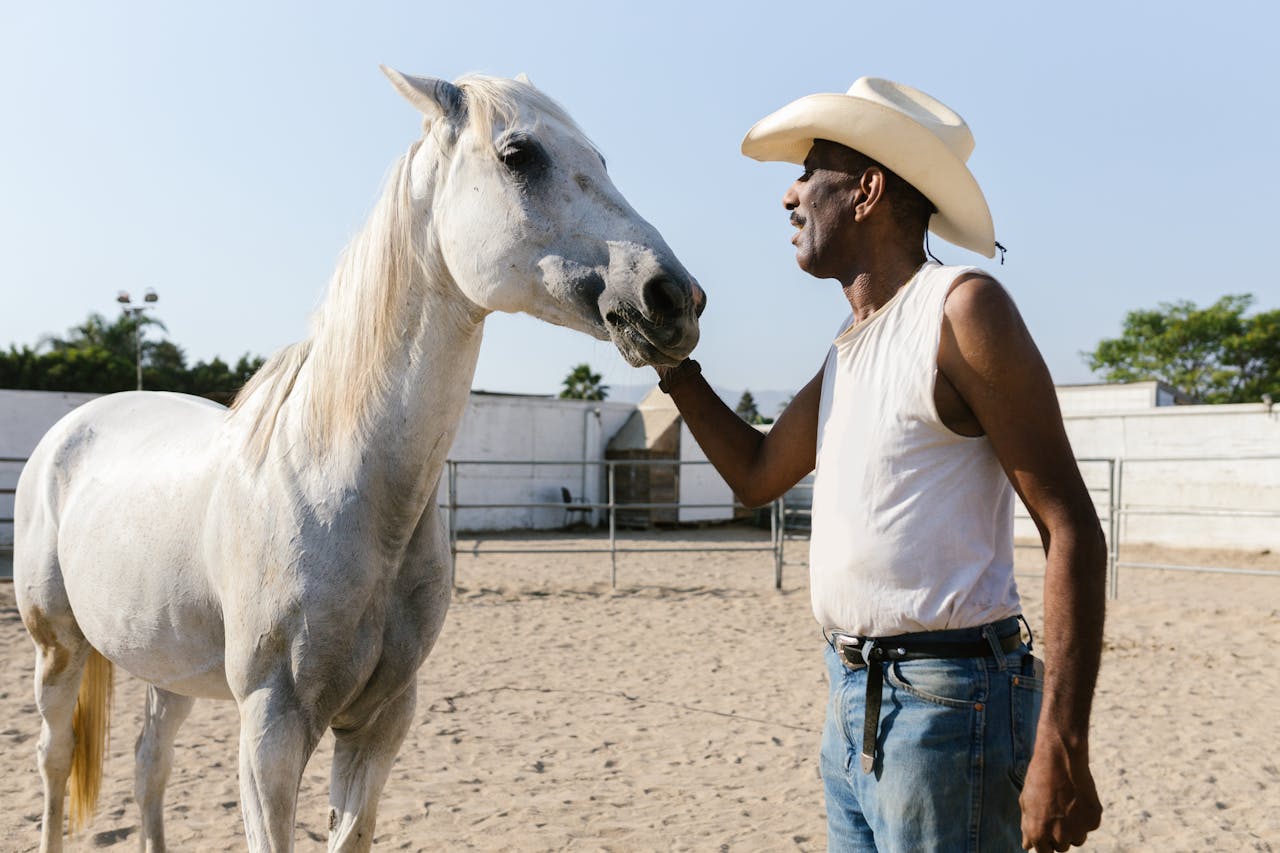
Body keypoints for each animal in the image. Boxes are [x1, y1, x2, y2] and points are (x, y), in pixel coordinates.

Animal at [12, 68, 701, 850]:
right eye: (518, 154)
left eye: (602, 159)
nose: (673, 296)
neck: (340, 486)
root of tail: (73, 428)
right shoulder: (271, 729)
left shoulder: (381, 722)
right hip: (58, 648)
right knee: (55, 759)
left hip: (166, 666)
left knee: (149, 762)